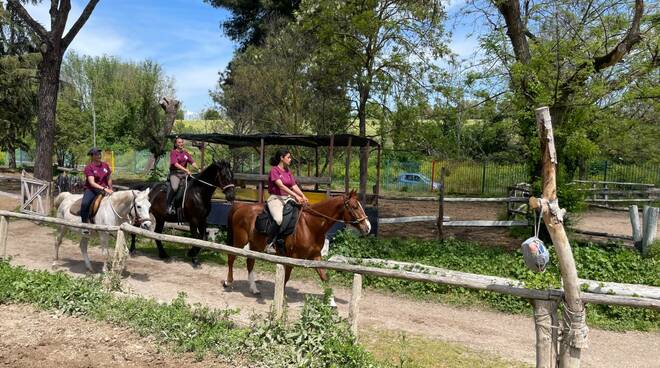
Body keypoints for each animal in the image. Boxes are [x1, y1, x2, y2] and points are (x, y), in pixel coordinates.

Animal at [224, 191, 372, 306]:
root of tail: (241, 206)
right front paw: (282, 299)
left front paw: (331, 301)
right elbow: (285, 277)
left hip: (255, 245)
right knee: (231, 257)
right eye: (354, 206)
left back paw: (254, 289)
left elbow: (324, 277)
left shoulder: (315, 256)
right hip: (240, 241)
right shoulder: (291, 257)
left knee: (250, 262)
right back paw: (228, 282)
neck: (310, 225)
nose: (368, 227)